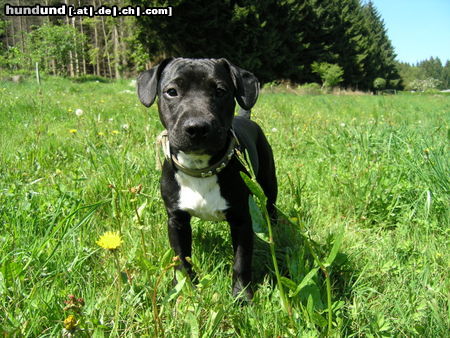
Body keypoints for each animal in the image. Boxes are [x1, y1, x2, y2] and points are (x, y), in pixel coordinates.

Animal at [138, 57, 278, 298]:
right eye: (171, 91)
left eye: (220, 91)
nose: (197, 127)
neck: (200, 170)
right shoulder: (176, 220)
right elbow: (181, 259)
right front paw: (185, 290)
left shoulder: (242, 219)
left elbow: (241, 261)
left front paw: (242, 296)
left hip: (269, 181)